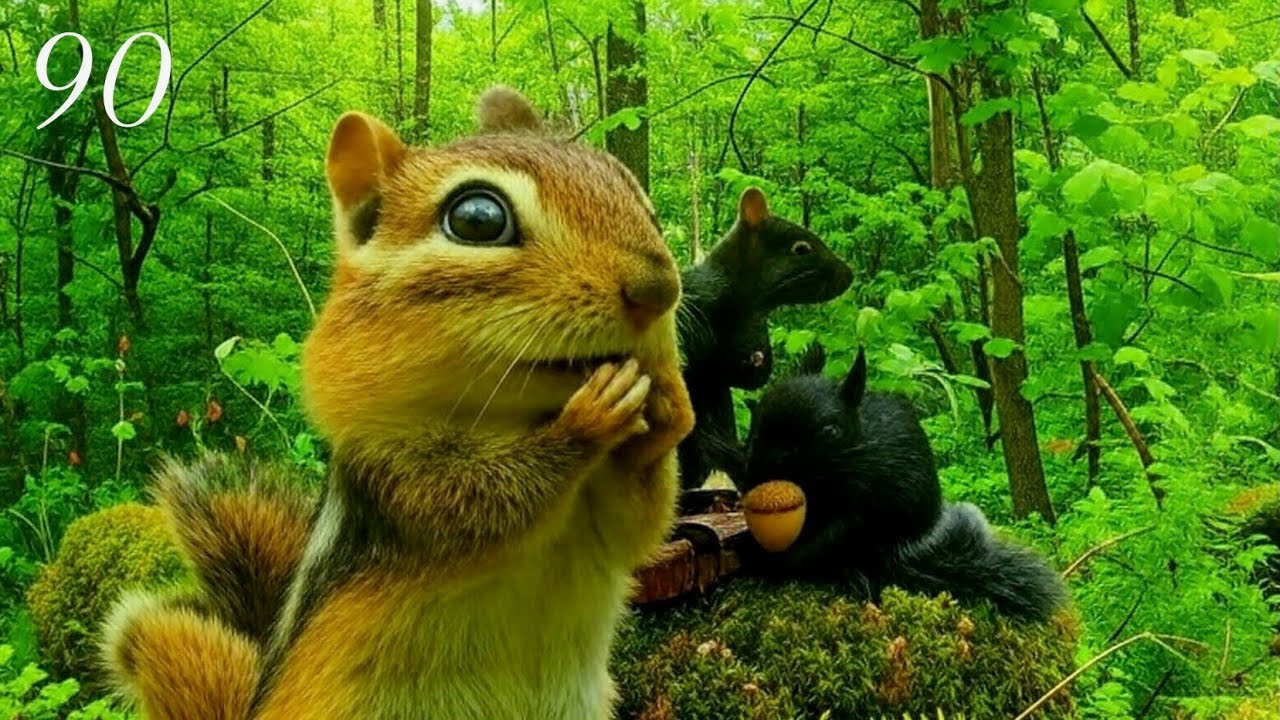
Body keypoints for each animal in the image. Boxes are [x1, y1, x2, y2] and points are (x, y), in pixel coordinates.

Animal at [101, 86, 694, 720]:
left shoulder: (600, 521)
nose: (660, 289)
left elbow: (637, 528)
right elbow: (484, 504)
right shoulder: (392, 475)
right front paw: (587, 421)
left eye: (639, 198)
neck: (519, 414)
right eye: (477, 219)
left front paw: (672, 406)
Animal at [739, 343, 1068, 621]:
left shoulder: (873, 500)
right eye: (754, 431)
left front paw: (767, 559)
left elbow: (834, 536)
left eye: (829, 431)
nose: (762, 474)